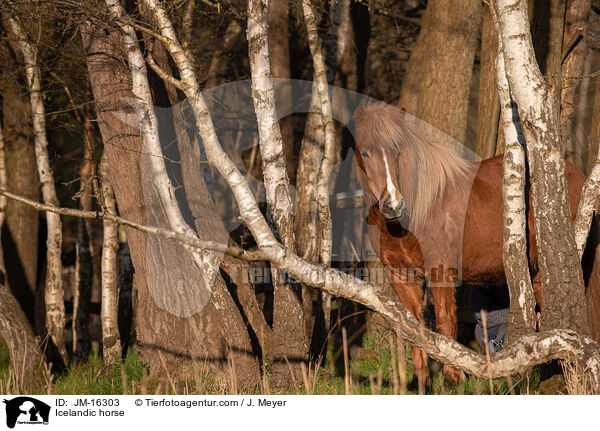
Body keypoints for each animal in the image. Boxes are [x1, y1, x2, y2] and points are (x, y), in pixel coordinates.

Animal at [352, 102, 600, 392]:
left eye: (398, 150)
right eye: (365, 152)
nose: (393, 205)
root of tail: (576, 175)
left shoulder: (441, 272)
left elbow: (446, 323)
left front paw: (452, 380)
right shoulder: (401, 276)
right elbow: (414, 327)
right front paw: (420, 382)